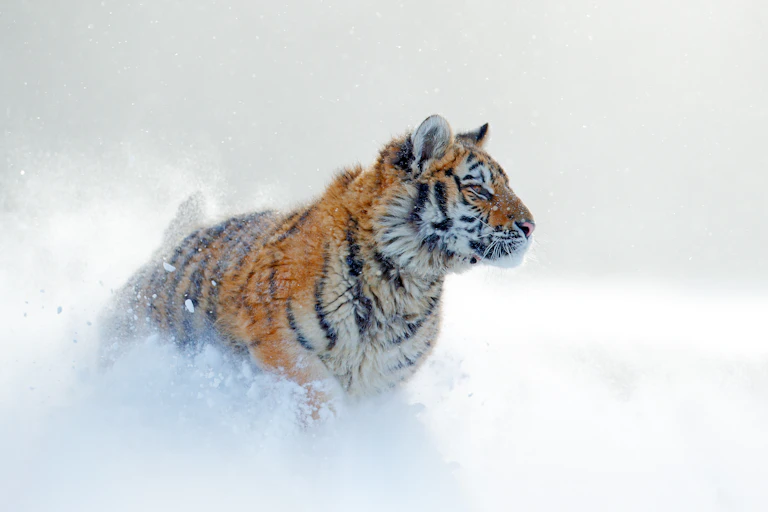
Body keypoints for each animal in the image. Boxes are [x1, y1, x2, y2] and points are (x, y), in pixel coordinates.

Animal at [103, 114, 535, 416]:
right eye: (479, 189)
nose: (531, 226)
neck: (405, 282)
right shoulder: (282, 348)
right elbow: (318, 399)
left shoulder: (381, 379)